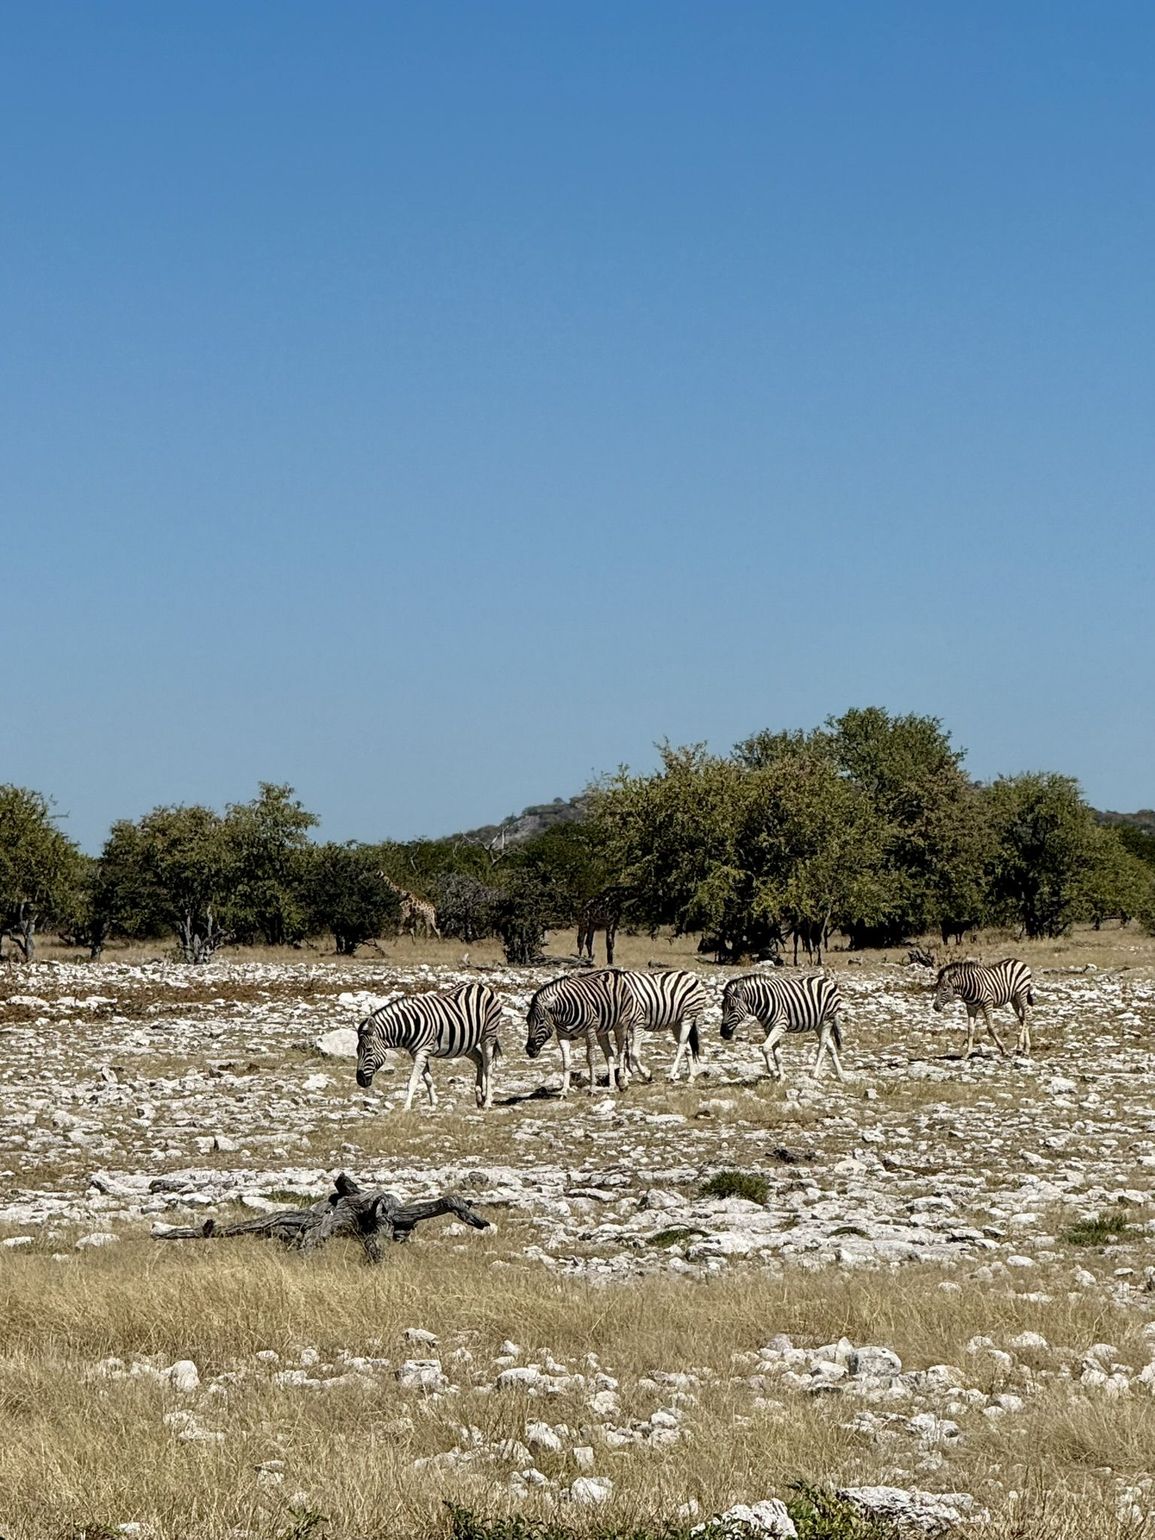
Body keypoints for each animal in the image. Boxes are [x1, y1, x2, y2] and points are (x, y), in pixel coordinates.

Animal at [355, 982, 502, 1111]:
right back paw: (480, 1097)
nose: (360, 1081)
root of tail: (482, 986)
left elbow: (413, 1081)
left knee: (488, 1068)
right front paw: (433, 1104)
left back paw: (487, 1102)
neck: (409, 1025)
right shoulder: (417, 1053)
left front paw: (406, 1107)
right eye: (357, 1051)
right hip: (467, 1043)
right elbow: (428, 1079)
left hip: (488, 1036)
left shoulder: (422, 1051)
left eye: (369, 1050)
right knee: (480, 1061)